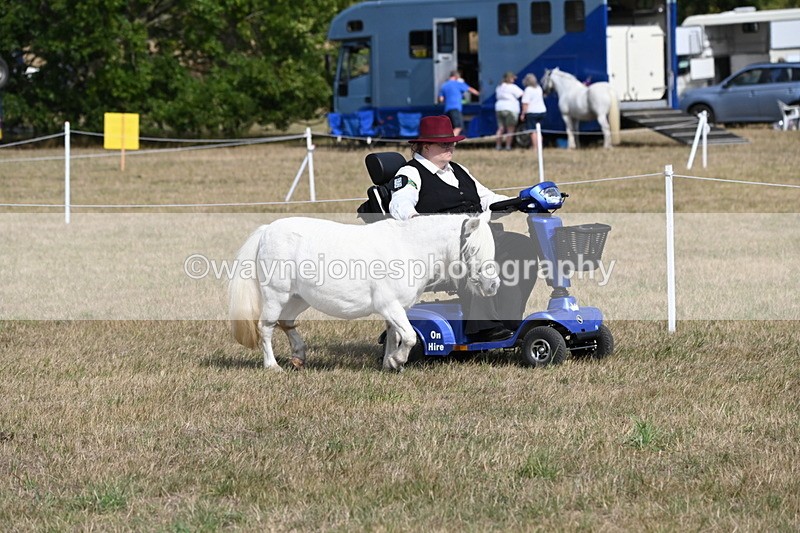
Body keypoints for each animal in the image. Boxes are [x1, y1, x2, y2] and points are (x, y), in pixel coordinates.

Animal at [228, 212, 499, 372]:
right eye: (473, 249)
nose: (492, 285)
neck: (407, 248)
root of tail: (267, 230)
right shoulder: (390, 305)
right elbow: (410, 336)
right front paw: (398, 360)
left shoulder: (397, 308)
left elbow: (394, 335)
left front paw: (390, 364)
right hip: (276, 294)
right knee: (266, 327)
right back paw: (272, 366)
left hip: (299, 298)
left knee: (286, 322)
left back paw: (299, 356)